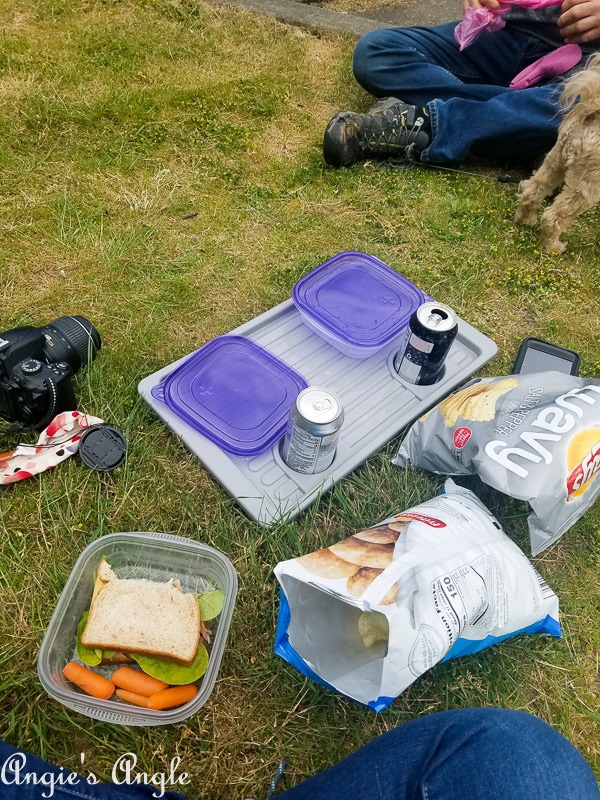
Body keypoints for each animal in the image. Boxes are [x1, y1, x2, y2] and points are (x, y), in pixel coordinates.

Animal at [512, 52, 600, 252]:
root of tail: (593, 115)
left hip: (556, 159)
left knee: (531, 190)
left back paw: (525, 219)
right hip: (588, 184)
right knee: (553, 216)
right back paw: (552, 246)